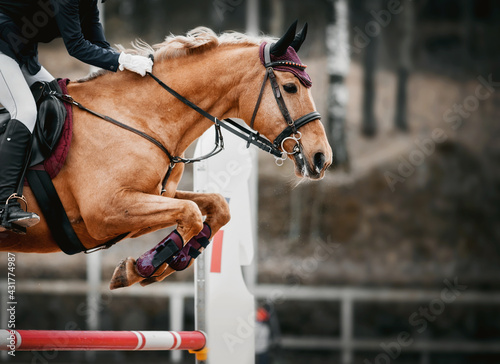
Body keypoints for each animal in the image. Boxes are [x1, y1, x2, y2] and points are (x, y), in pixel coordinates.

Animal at [0, 24, 332, 288]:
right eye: (290, 87)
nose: (322, 158)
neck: (139, 117)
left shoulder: (151, 198)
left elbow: (215, 206)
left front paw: (158, 265)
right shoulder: (105, 211)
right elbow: (191, 213)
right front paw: (144, 266)